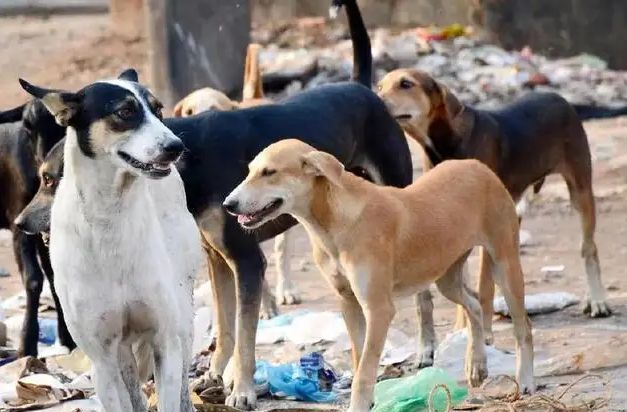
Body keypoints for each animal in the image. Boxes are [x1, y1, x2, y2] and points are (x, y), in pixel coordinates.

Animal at [0, 100, 74, 358]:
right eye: (28, 127)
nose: (45, 168)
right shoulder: (19, 222)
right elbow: (33, 279)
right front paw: (26, 346)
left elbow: (54, 276)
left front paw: (68, 339)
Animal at [20, 71, 201, 412]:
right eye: (125, 112)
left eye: (158, 110)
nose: (177, 146)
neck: (111, 216)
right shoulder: (102, 359)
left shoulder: (164, 341)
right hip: (120, 353)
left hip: (182, 313)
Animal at [224, 139, 536, 412]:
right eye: (250, 171)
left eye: (269, 172)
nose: (228, 204)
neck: (334, 221)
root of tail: (478, 166)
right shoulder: (349, 302)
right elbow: (359, 357)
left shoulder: (379, 308)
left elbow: (364, 370)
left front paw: (359, 405)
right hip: (445, 276)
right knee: (473, 303)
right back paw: (477, 364)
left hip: (505, 264)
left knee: (523, 328)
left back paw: (526, 380)